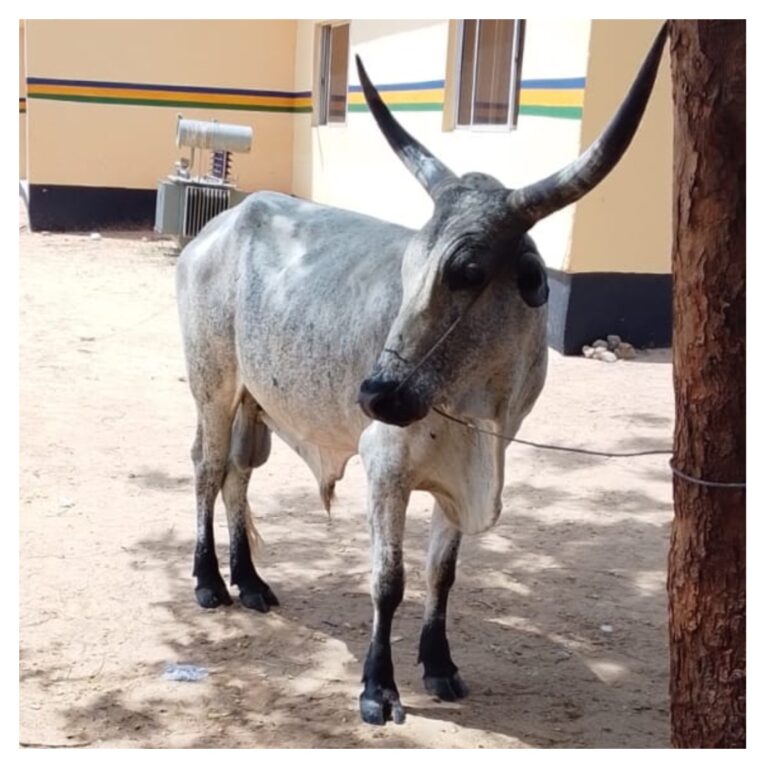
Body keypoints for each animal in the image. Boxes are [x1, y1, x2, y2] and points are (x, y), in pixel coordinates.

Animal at [176, 26, 668, 725]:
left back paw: (250, 581)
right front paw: (377, 687)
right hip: (212, 388)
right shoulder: (386, 468)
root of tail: (219, 226)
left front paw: (439, 664)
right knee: (208, 468)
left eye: (467, 271)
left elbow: (442, 574)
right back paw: (210, 582)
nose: (376, 392)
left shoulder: (467, 474)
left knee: (239, 477)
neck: (475, 407)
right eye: (408, 268)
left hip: (255, 400)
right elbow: (390, 579)